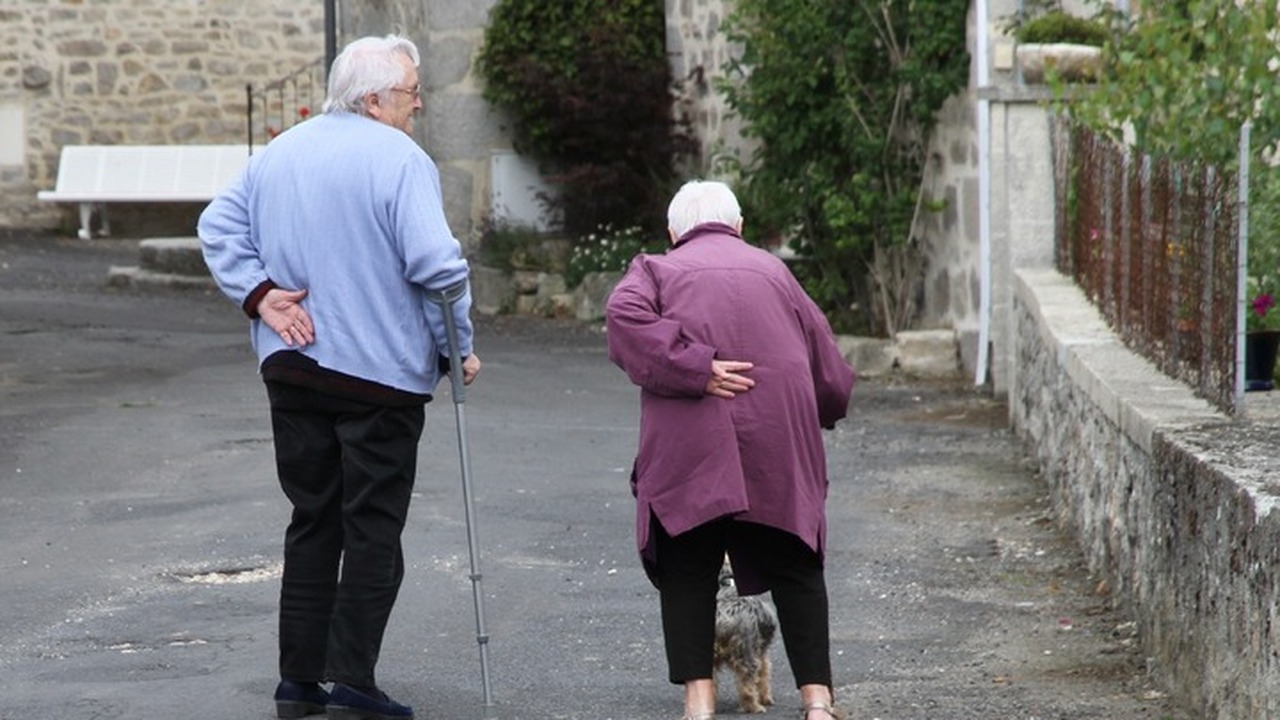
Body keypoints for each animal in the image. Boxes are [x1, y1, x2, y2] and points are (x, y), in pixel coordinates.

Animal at [711, 558, 778, 707]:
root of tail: (724, 619)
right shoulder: (761, 653)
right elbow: (764, 674)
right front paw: (766, 698)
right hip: (747, 649)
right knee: (748, 680)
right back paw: (754, 706)